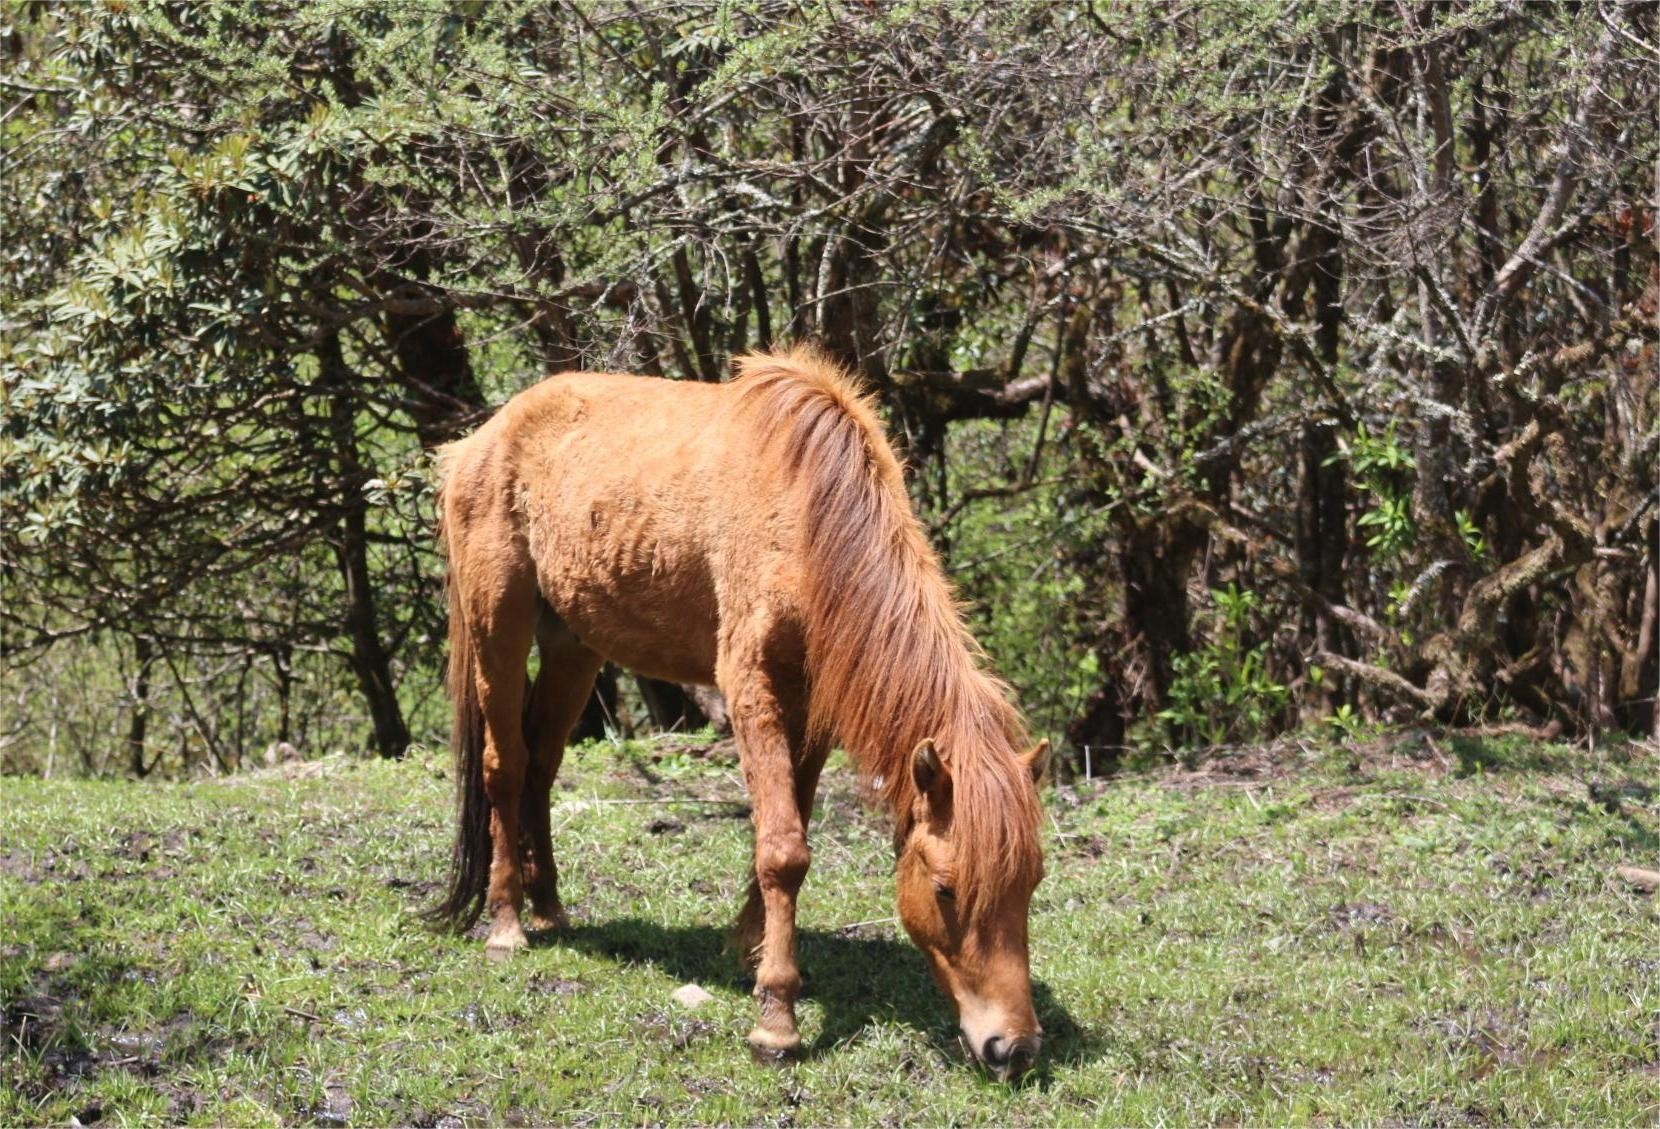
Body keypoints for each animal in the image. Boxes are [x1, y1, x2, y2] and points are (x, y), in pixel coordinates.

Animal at [428, 347, 1048, 1080]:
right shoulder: (751, 687)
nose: (1013, 1047)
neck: (808, 516)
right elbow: (783, 849)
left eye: (1032, 882)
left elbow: (793, 825)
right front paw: (775, 1019)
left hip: (572, 644)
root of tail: (479, 440)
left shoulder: (811, 708)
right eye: (947, 890)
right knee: (505, 765)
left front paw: (756, 951)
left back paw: (549, 906)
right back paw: (507, 924)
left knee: (542, 765)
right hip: (499, 624)